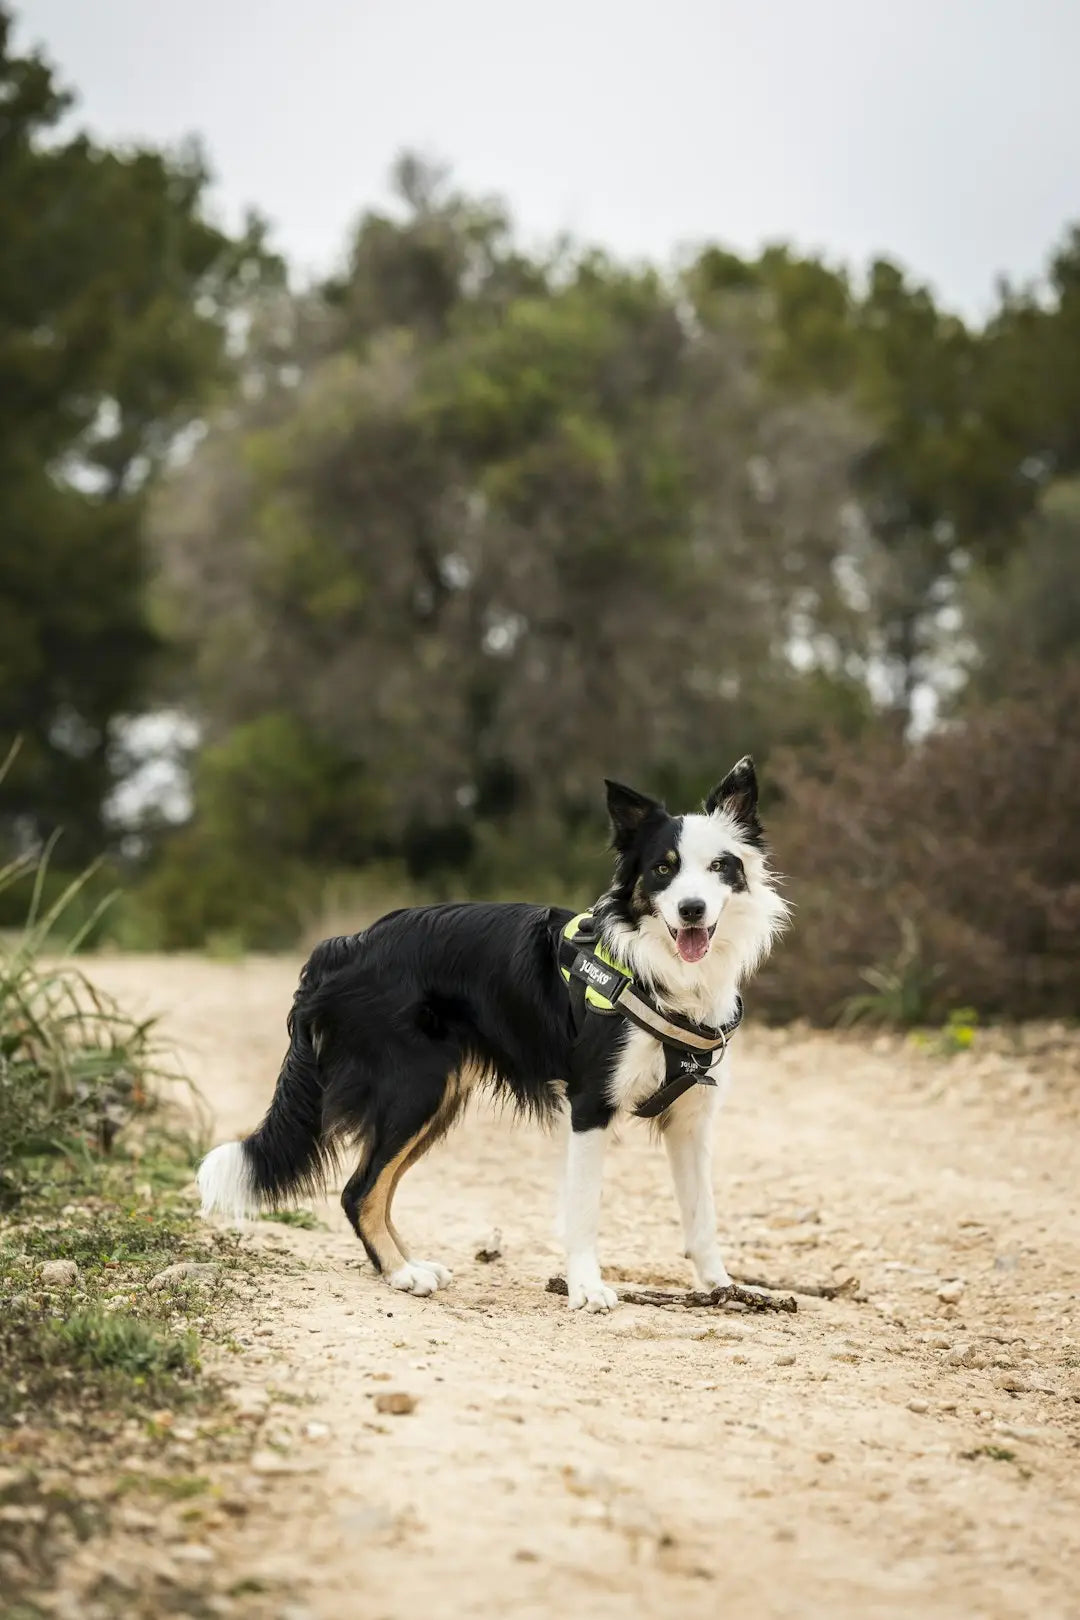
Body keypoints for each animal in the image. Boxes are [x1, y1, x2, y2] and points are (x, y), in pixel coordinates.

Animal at [196, 764, 786, 1308]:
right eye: (664, 868)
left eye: (719, 866)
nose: (692, 909)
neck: (662, 975)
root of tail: (342, 946)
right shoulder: (590, 1104)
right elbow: (584, 1209)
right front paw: (587, 1288)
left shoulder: (690, 1120)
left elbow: (702, 1216)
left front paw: (724, 1288)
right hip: (415, 1088)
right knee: (358, 1190)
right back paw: (401, 1275)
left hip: (436, 1097)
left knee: (374, 1188)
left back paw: (409, 1264)